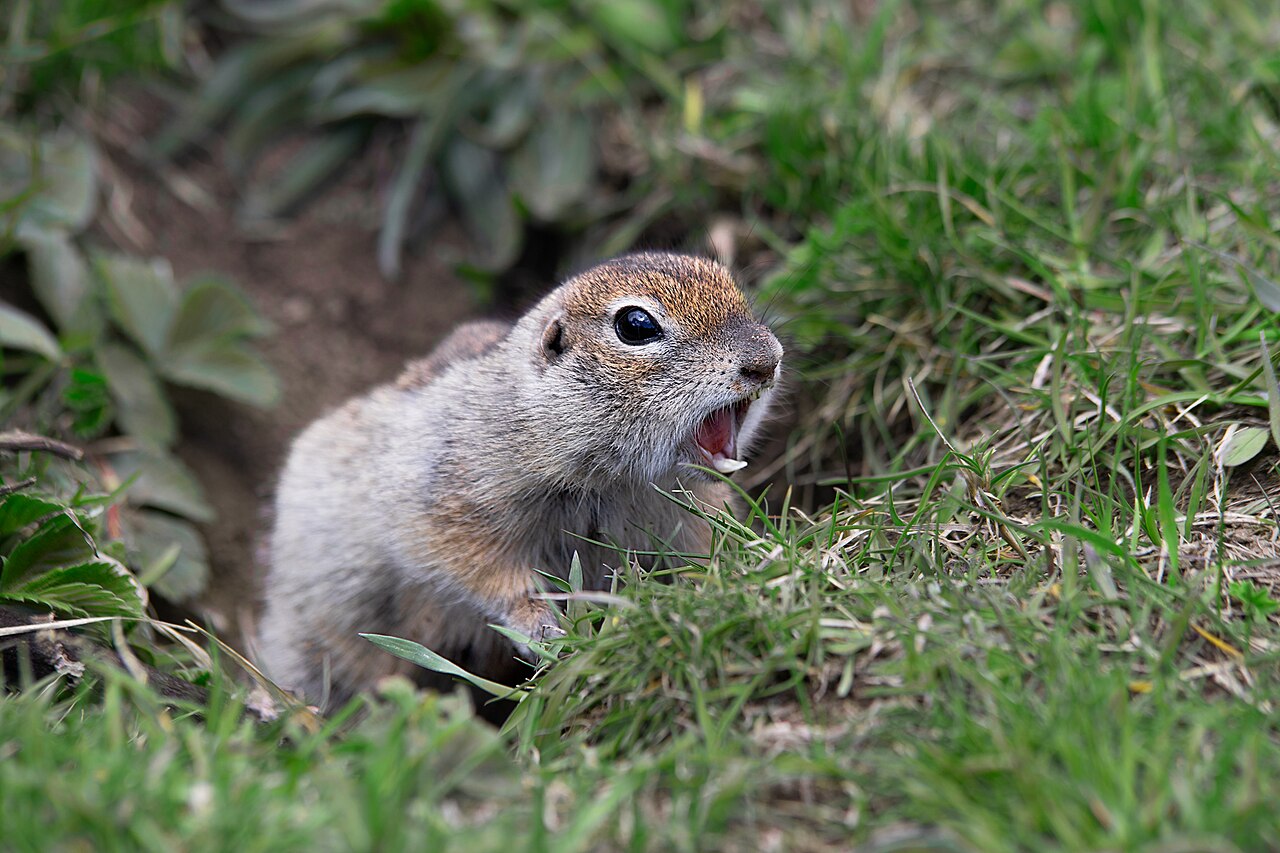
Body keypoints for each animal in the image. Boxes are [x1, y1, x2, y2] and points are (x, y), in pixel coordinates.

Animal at [256, 252, 783, 708]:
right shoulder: (453, 501)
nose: (766, 362)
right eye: (636, 325)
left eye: (730, 281)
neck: (612, 481)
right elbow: (484, 570)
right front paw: (545, 628)